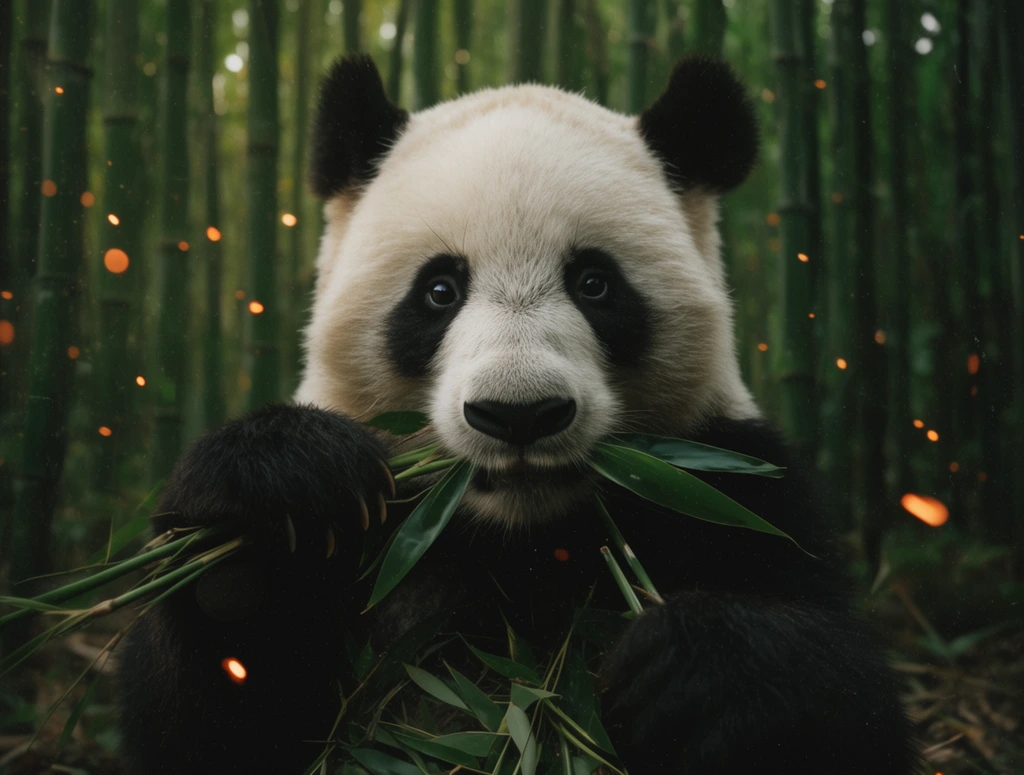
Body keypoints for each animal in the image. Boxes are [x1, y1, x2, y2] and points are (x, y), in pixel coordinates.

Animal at [117, 55, 915, 775]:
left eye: (594, 282)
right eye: (439, 290)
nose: (520, 414)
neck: (519, 534)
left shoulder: (728, 478)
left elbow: (849, 696)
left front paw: (689, 669)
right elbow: (217, 718)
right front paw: (280, 483)